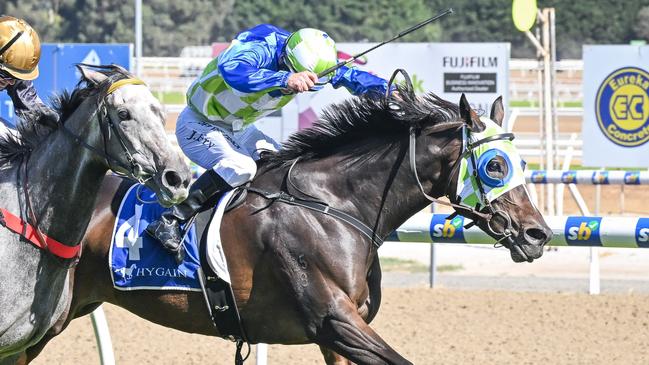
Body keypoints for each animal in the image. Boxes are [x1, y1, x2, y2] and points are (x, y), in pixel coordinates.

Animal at [22, 89, 548, 364]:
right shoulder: (333, 321)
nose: (538, 234)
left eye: (522, 161)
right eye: (496, 166)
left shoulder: (339, 336)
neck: (334, 205)